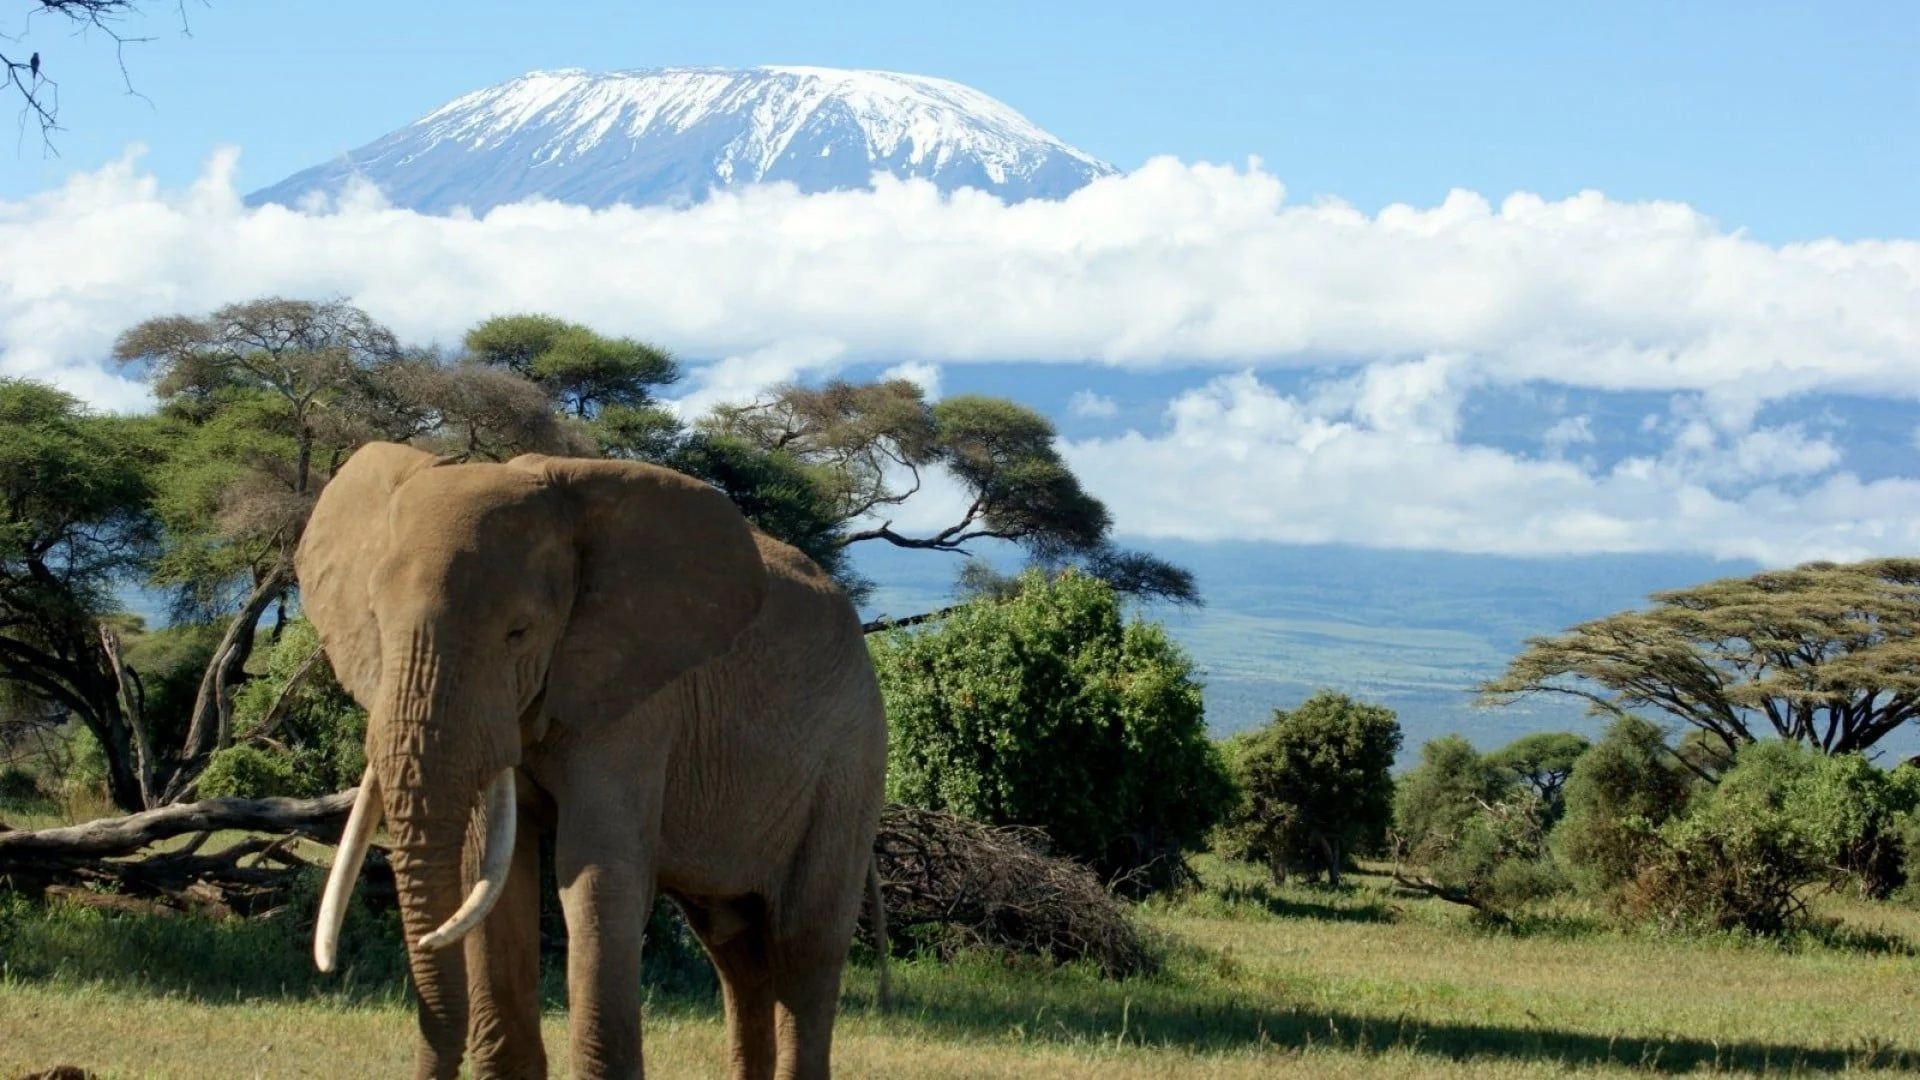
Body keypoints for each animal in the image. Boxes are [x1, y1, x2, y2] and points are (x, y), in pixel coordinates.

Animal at [297, 440, 890, 1076]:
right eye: (376, 622)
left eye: (519, 633)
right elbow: (492, 873)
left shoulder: (639, 702)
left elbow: (596, 874)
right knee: (736, 952)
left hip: (850, 764)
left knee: (805, 942)